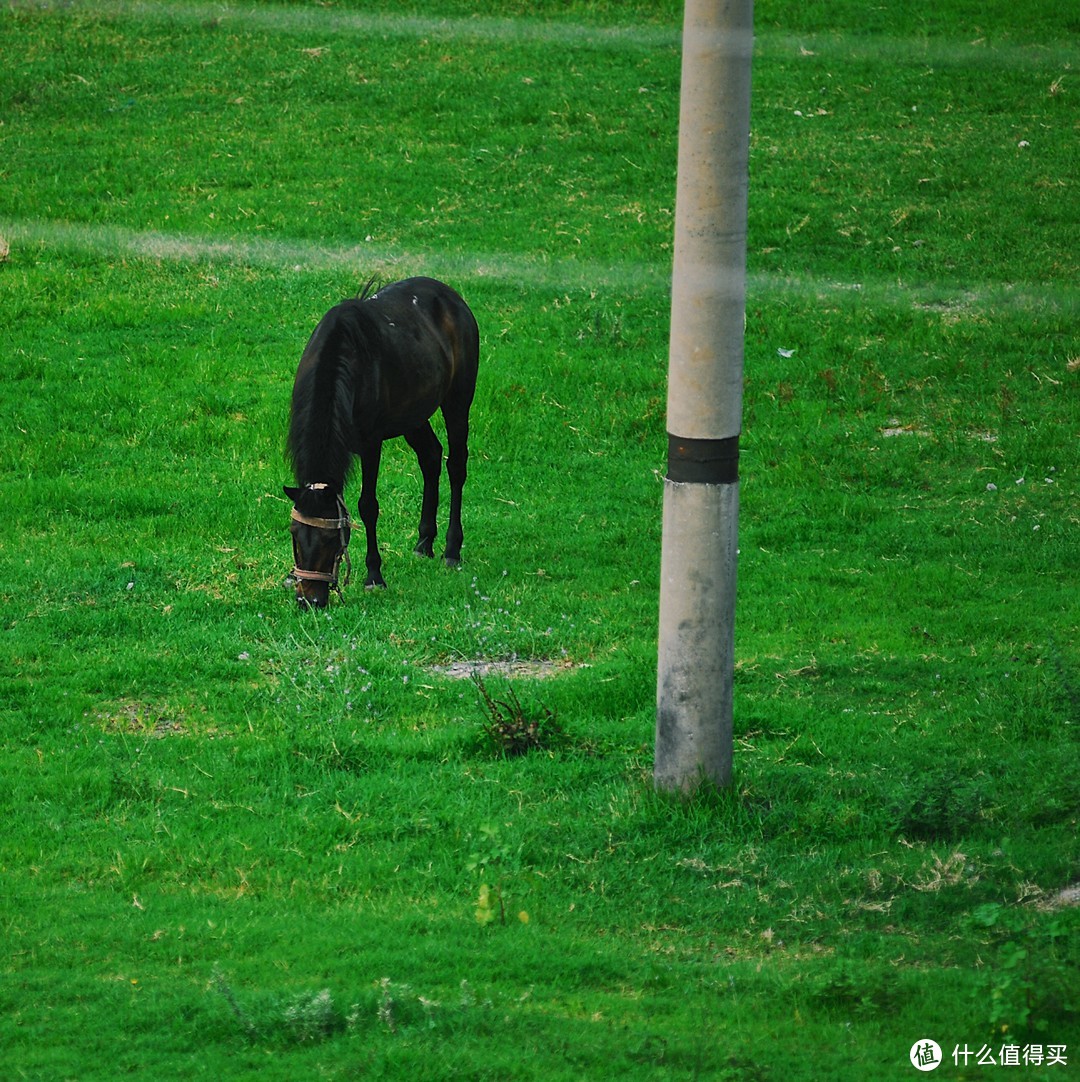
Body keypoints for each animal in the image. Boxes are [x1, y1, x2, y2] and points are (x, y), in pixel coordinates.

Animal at [285, 274, 480, 610]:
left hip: (458, 399)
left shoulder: (370, 443)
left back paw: (451, 550)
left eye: (331, 539)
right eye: (295, 533)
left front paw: (374, 576)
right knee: (431, 456)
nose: (309, 600)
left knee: (456, 465)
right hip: (413, 414)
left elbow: (368, 506)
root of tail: (452, 296)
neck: (341, 363)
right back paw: (424, 542)